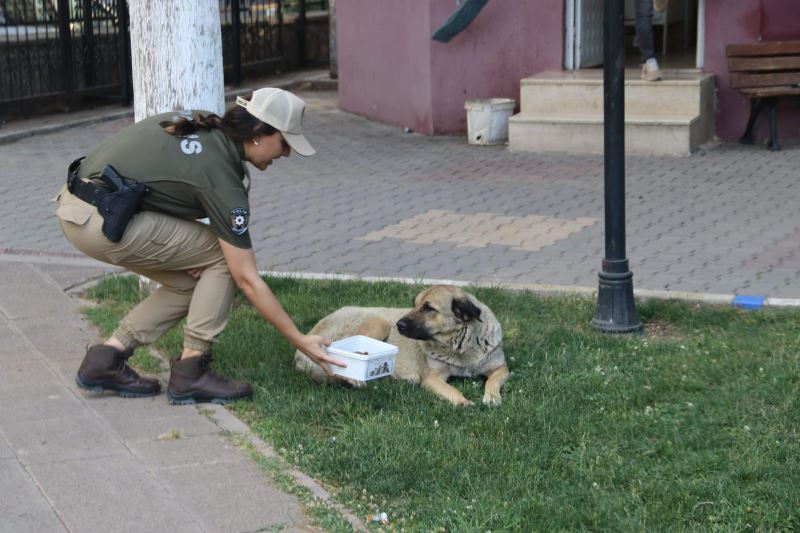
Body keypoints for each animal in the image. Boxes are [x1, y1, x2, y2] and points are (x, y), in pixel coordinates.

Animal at [296, 284, 512, 406]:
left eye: (428, 308)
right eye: (415, 304)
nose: (399, 325)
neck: (460, 347)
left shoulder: (501, 368)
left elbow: (493, 380)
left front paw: (492, 397)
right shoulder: (432, 379)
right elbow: (453, 390)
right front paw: (463, 401)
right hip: (379, 321)